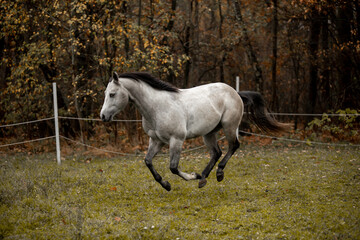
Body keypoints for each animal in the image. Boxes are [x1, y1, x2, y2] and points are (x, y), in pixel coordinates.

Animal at [100, 71, 286, 191]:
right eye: (106, 93)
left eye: (112, 94)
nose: (102, 116)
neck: (157, 107)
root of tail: (235, 92)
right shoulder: (156, 140)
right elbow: (148, 161)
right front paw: (166, 185)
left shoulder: (176, 140)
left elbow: (173, 167)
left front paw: (191, 176)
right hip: (208, 133)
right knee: (216, 152)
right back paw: (203, 177)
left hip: (229, 126)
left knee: (233, 146)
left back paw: (218, 173)